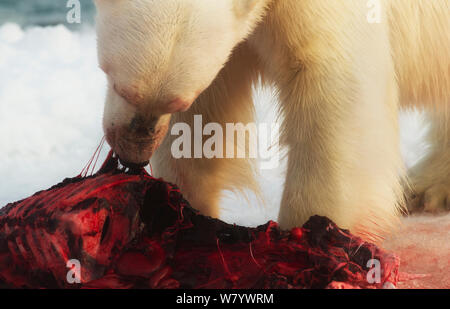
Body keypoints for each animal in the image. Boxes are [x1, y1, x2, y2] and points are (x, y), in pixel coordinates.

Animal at [93, 0, 448, 239]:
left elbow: (333, 89)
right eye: (119, 85)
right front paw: (183, 209)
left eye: (178, 98)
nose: (133, 155)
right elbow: (206, 115)